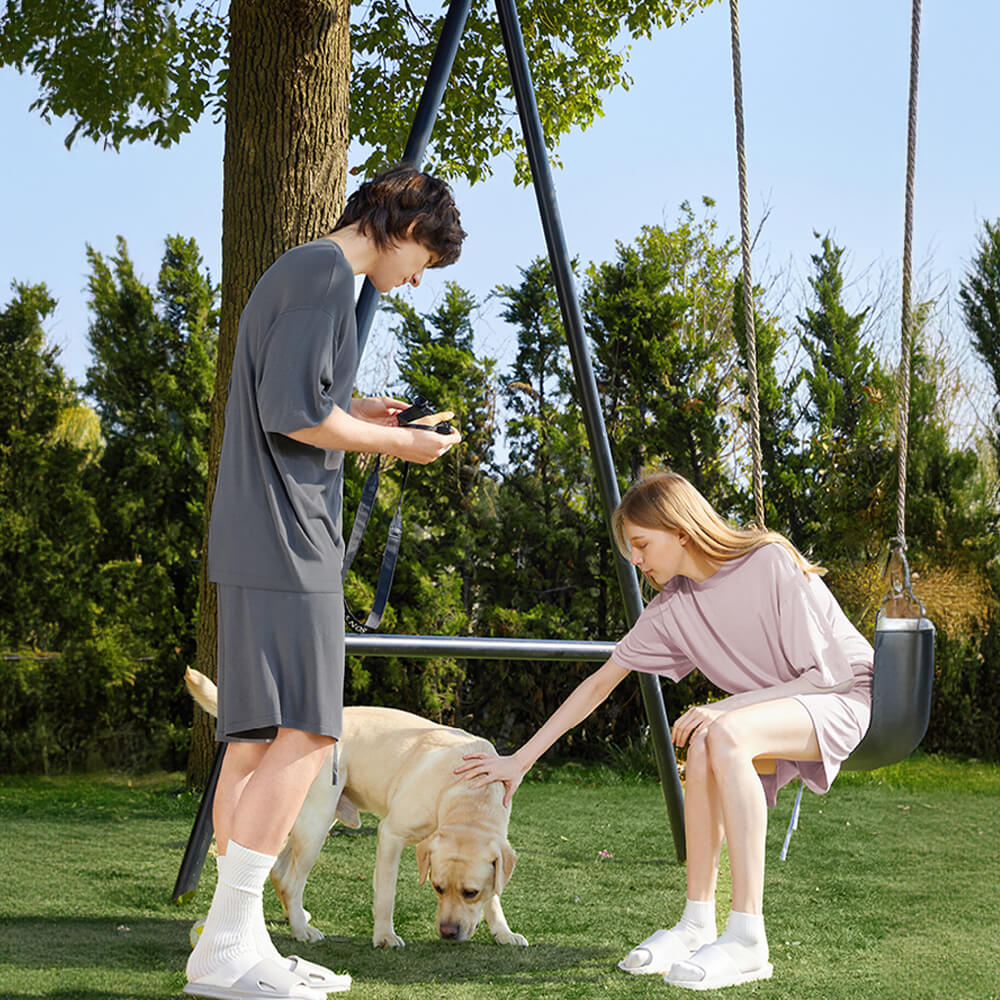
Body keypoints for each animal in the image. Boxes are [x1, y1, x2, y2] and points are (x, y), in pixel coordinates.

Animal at [188, 668, 532, 948]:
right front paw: (385, 936)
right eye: (437, 887)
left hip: (313, 821)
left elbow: (495, 896)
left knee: (278, 869)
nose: (448, 932)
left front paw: (503, 932)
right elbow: (386, 893)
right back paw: (301, 931)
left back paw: (293, 916)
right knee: (290, 879)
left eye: (471, 892)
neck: (467, 795)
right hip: (316, 822)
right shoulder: (391, 834)